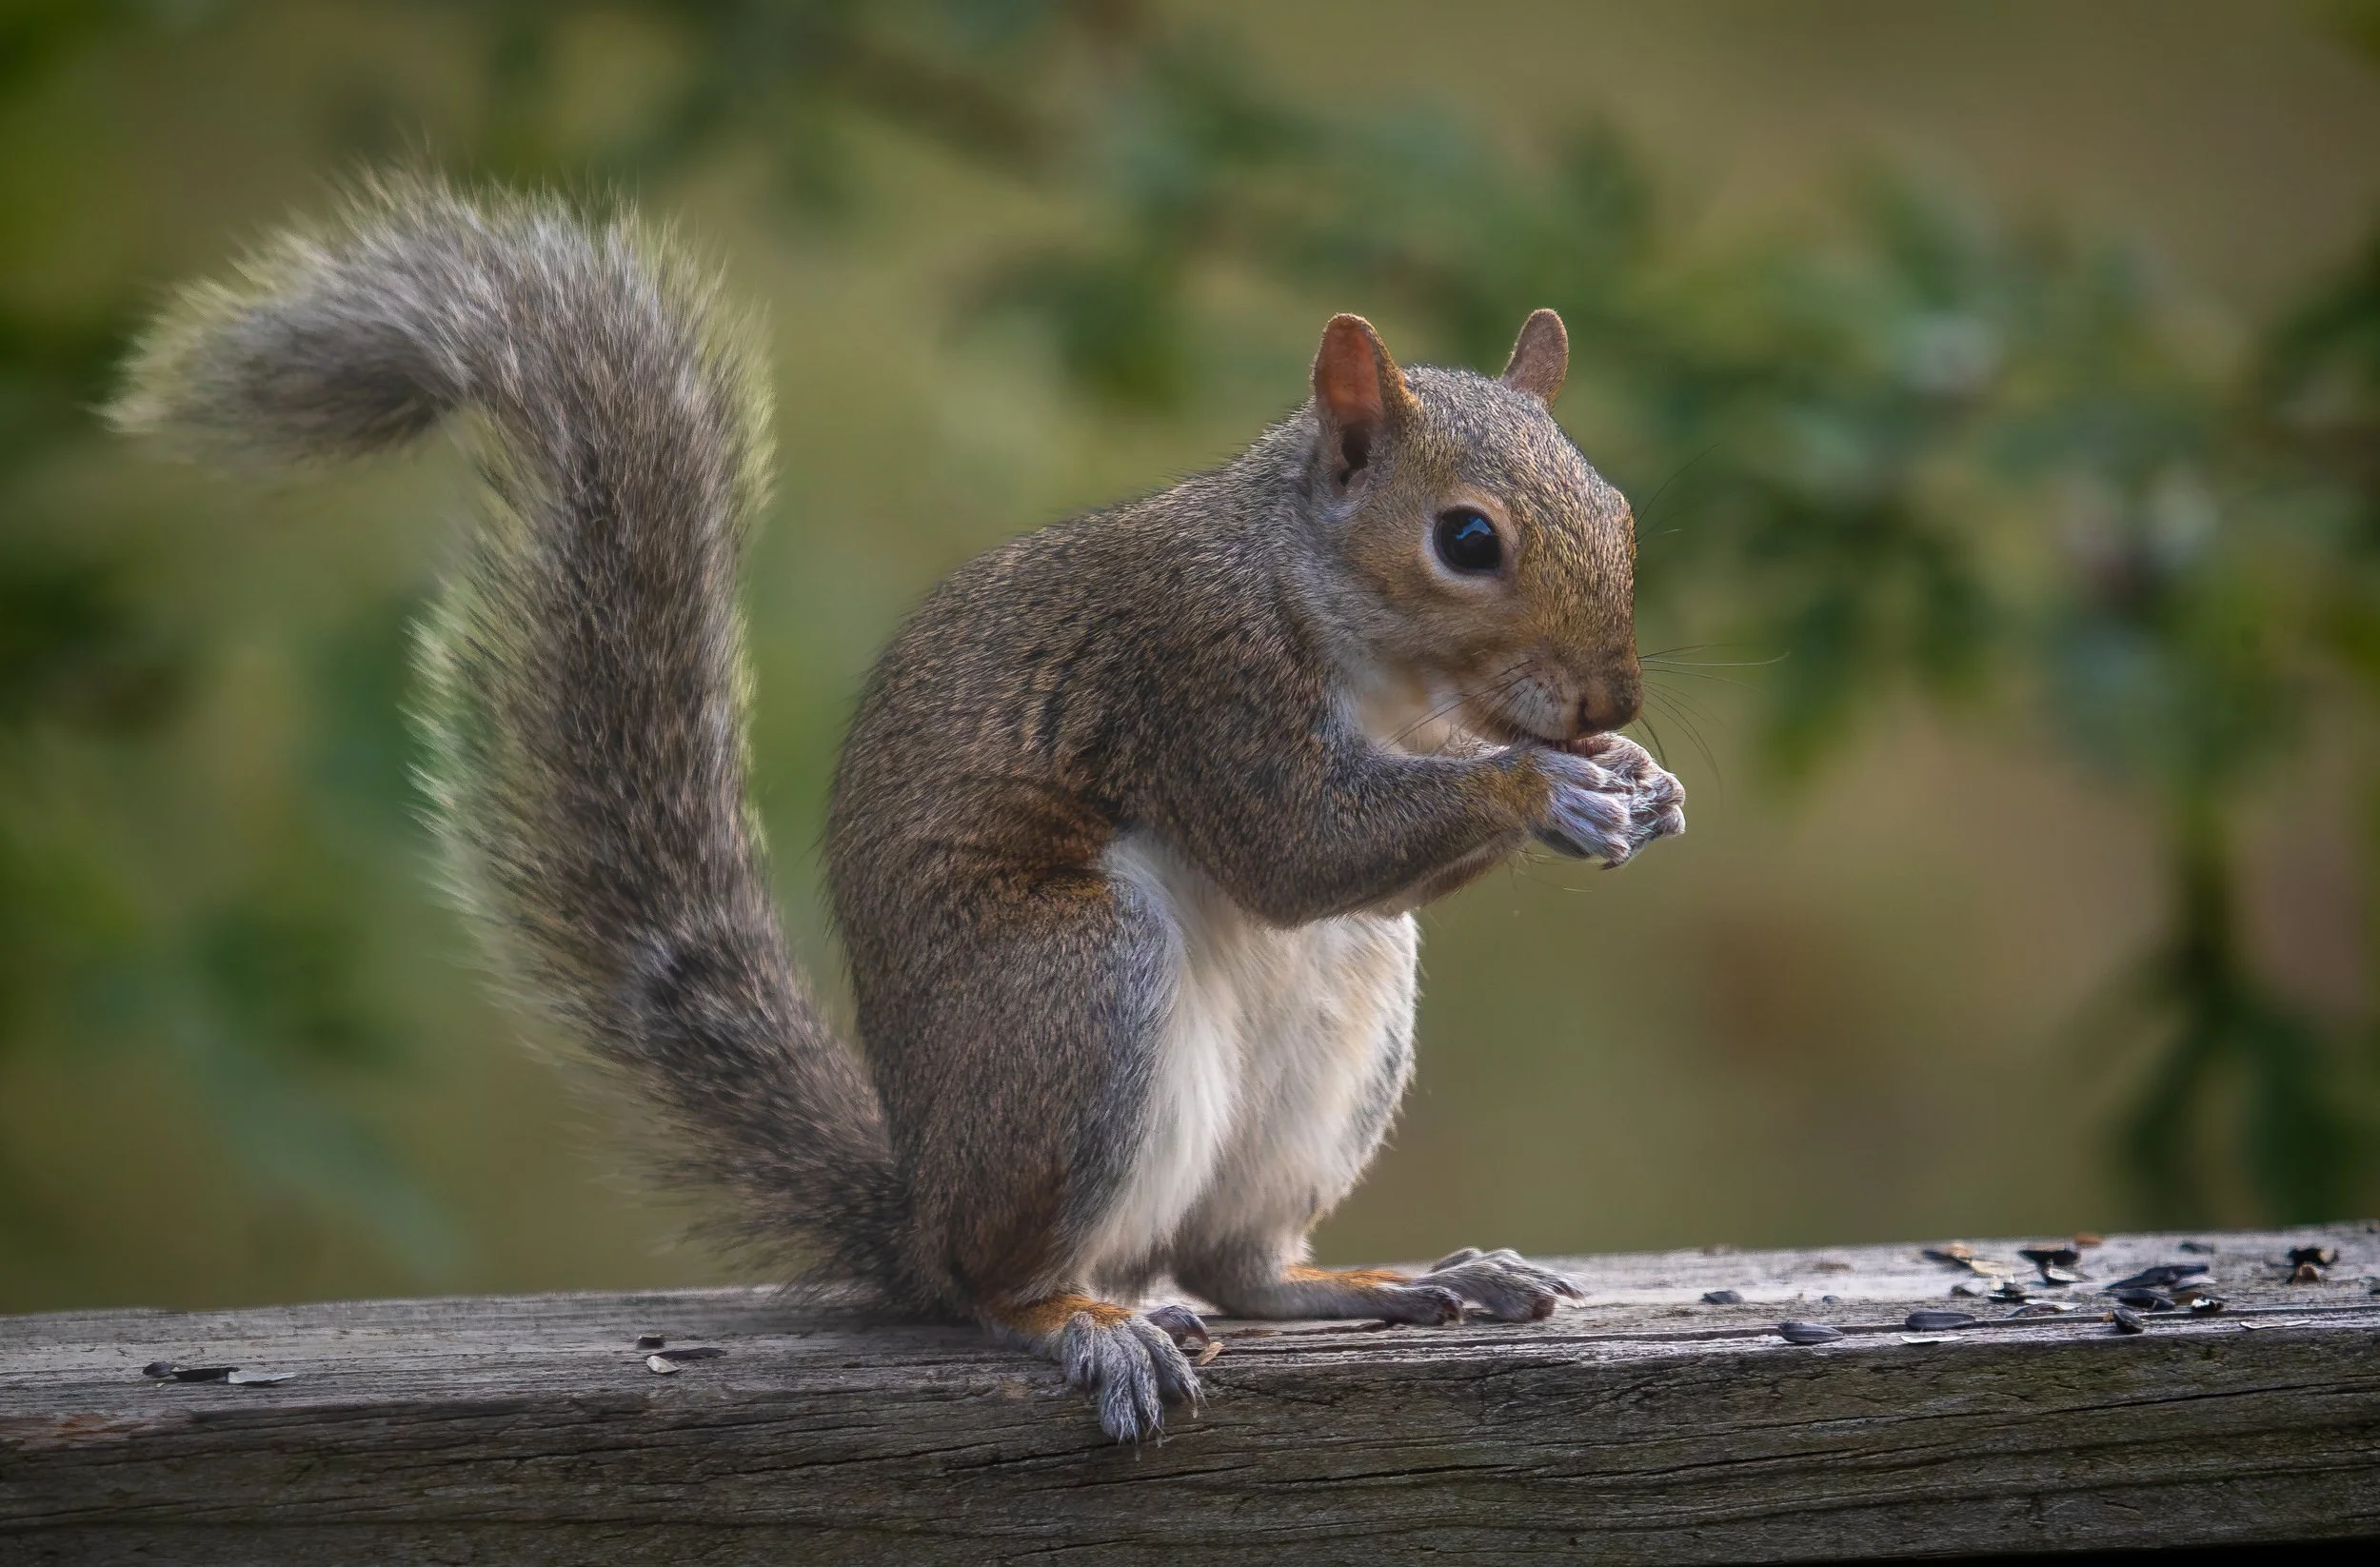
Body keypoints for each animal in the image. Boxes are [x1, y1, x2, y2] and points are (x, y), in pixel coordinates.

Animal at [113, 176, 1684, 1443]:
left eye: (1620, 510)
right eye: (1466, 538)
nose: (1612, 696)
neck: (1367, 652)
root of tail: (922, 1203)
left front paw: (1641, 784)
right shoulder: (1196, 675)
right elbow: (1298, 844)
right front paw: (1548, 787)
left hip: (1339, 1030)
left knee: (1238, 1261)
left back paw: (1394, 1279)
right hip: (1071, 991)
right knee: (1008, 1282)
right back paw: (1086, 1325)